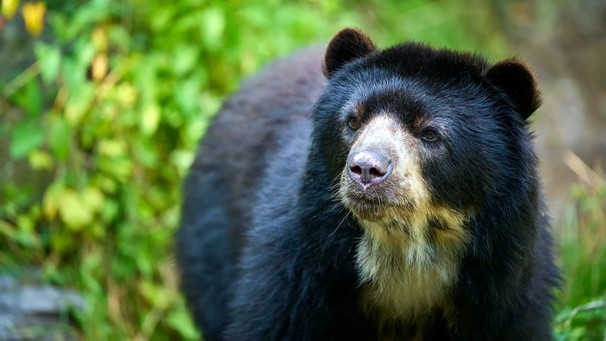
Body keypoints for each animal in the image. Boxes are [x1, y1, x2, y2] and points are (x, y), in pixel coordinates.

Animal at [178, 27, 564, 338]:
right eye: (353, 120)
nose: (366, 169)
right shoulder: (297, 271)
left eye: (430, 133)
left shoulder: (505, 290)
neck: (402, 250)